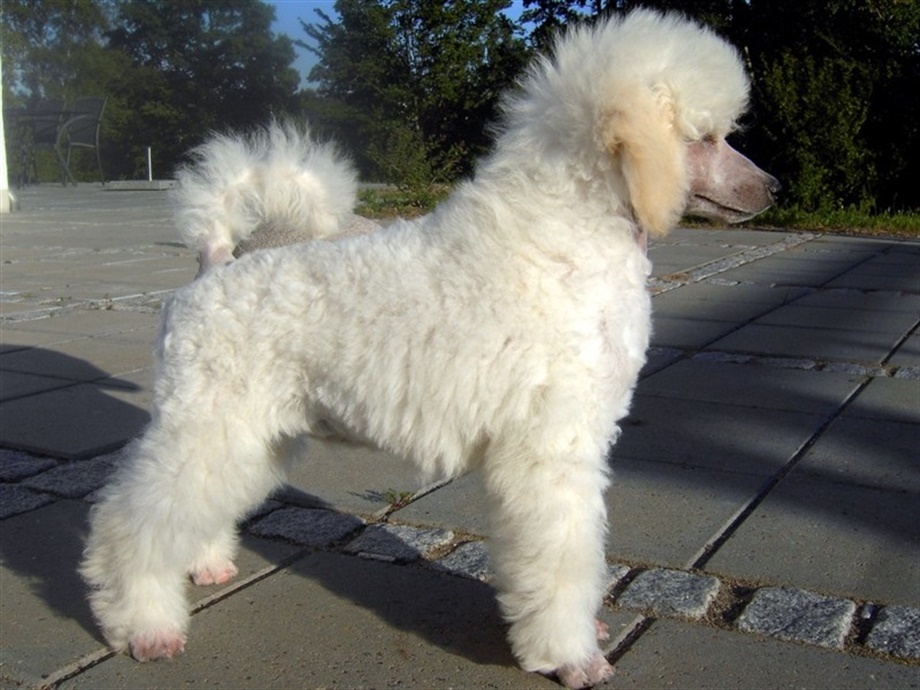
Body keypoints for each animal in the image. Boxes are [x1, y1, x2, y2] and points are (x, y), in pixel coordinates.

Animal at [81, 10, 779, 688]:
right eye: (706, 138)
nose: (773, 188)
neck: (570, 235)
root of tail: (213, 263)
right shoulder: (552, 448)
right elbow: (564, 557)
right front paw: (572, 657)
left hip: (253, 433)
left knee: (196, 507)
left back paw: (205, 567)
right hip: (208, 421)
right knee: (131, 524)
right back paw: (145, 627)